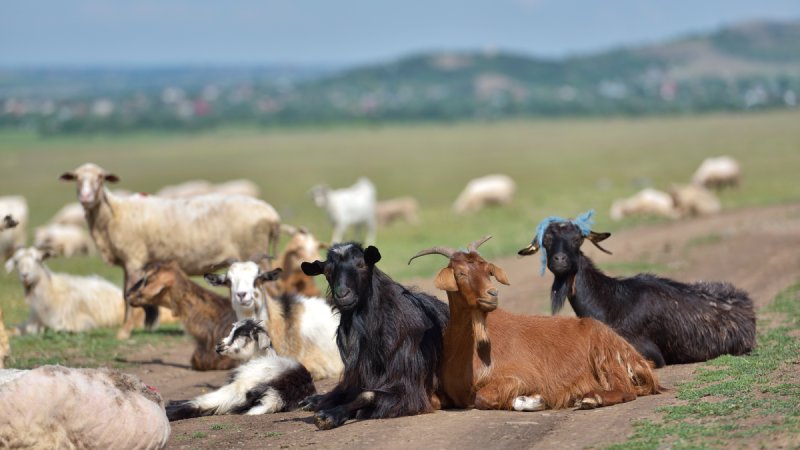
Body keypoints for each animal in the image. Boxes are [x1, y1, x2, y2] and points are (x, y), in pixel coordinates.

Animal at [59, 163, 281, 339]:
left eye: (100, 178)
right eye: (77, 178)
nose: (86, 198)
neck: (113, 214)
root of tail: (272, 215)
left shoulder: (134, 259)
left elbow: (127, 296)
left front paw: (124, 332)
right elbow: (127, 294)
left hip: (254, 253)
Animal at [299, 243, 449, 430]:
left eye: (362, 264)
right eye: (327, 271)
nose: (342, 294)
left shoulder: (410, 391)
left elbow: (366, 395)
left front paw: (329, 416)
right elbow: (342, 393)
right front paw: (318, 402)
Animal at [409, 236, 661, 411]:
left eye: (487, 269)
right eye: (460, 273)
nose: (492, 294)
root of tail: (638, 359)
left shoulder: (520, 377)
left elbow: (483, 398)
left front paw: (534, 400)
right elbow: (434, 401)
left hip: (606, 355)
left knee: (626, 391)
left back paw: (591, 398)